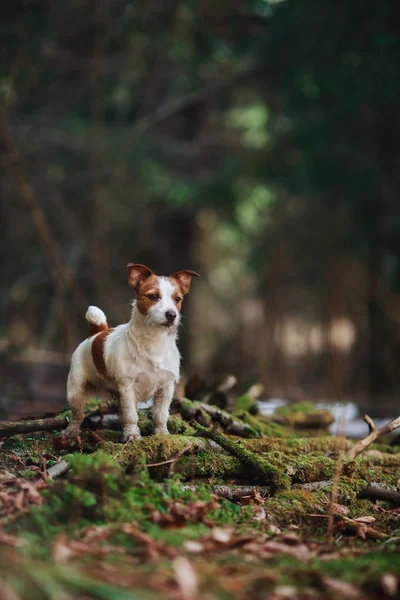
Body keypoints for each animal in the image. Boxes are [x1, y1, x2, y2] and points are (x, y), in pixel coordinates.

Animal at [64, 264, 200, 442]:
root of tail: (97, 332)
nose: (172, 314)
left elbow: (161, 415)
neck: (154, 341)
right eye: (153, 296)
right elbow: (131, 415)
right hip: (76, 390)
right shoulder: (127, 386)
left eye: (177, 299)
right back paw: (71, 432)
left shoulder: (166, 387)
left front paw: (162, 434)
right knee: (77, 414)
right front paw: (132, 435)